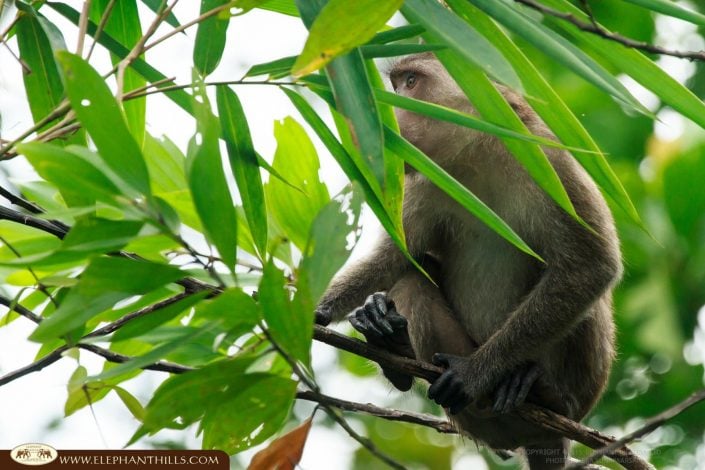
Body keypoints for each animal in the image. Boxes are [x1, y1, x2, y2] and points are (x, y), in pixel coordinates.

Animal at [314, 53, 622, 469]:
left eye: (410, 82)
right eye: (398, 84)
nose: (388, 109)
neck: (477, 150)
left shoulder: (550, 162)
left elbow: (592, 267)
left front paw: (475, 373)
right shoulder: (427, 177)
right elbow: (395, 258)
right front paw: (315, 309)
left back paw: (542, 392)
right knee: (414, 276)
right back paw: (391, 346)